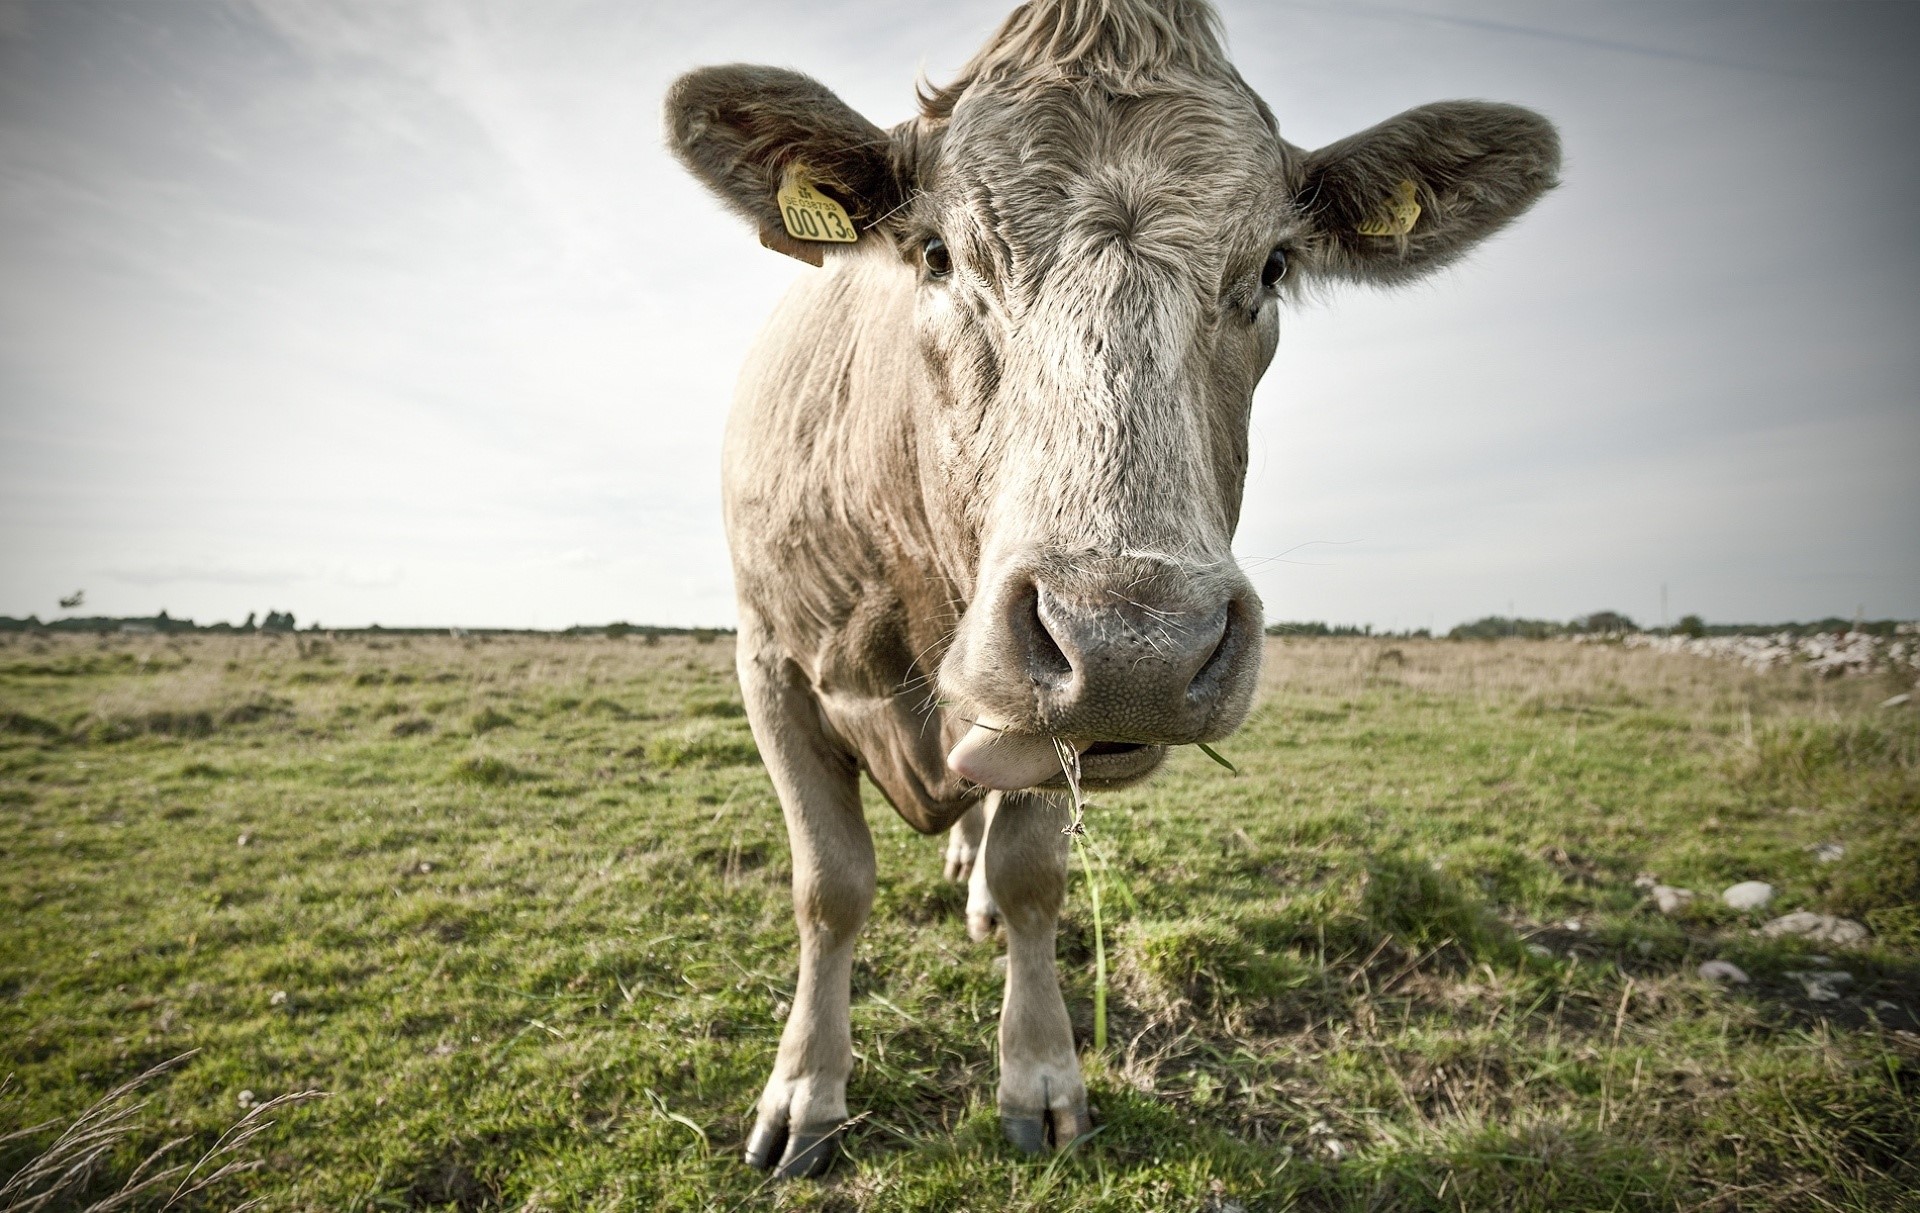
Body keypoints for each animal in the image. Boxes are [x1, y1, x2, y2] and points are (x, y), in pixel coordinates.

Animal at [665, 0, 1558, 1177]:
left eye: (1273, 265)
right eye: (937, 253)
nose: (1136, 647)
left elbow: (1033, 875)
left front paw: (1040, 1077)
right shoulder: (770, 661)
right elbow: (831, 885)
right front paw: (806, 1092)